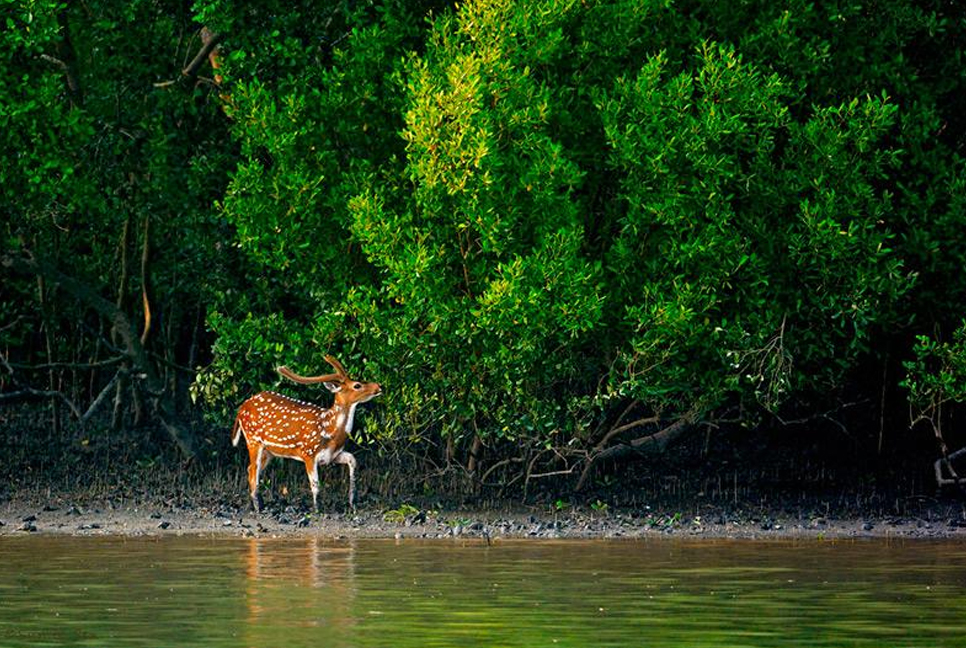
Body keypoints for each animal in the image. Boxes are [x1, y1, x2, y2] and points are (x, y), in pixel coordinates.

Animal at [233, 354, 384, 512]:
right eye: (357, 385)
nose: (379, 386)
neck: (330, 431)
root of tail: (241, 408)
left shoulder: (332, 455)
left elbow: (353, 460)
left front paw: (352, 501)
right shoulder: (308, 453)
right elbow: (315, 484)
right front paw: (317, 509)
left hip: (269, 451)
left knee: (251, 469)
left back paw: (259, 503)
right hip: (253, 439)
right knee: (253, 471)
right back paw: (258, 507)